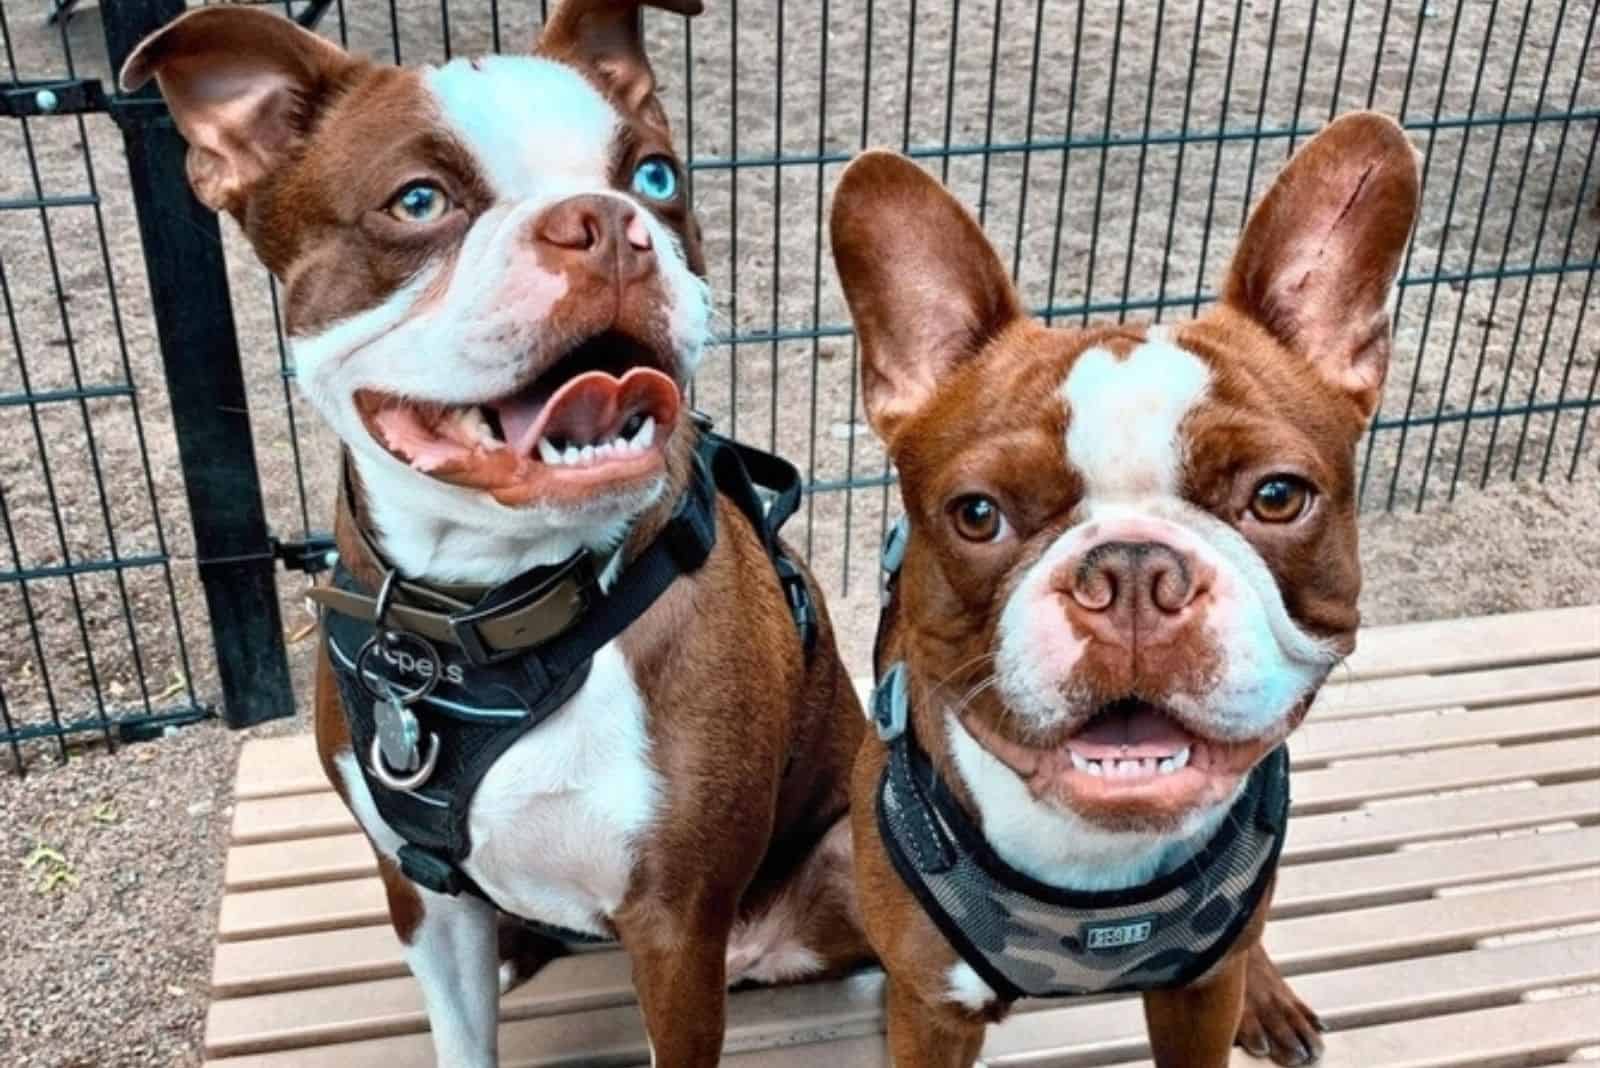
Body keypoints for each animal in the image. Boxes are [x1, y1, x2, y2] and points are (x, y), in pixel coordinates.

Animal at [121, 4, 876, 1061]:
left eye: (656, 177)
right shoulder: (421, 896)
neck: (488, 605)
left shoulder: (675, 924)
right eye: (418, 201)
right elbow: (460, 1030)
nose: (605, 225)